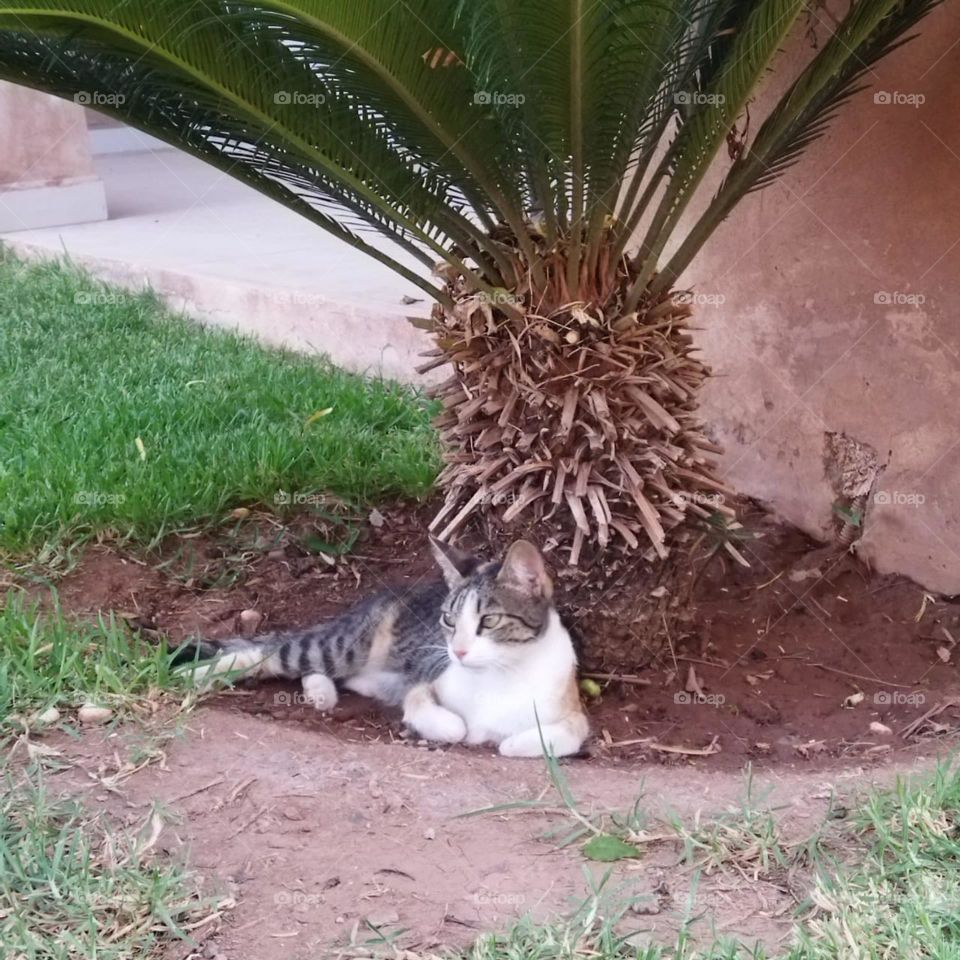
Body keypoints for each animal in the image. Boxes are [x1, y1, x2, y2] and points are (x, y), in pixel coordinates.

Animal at [176, 536, 588, 752]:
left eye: (489, 621)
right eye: (449, 620)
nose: (457, 651)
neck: (499, 676)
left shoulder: (574, 713)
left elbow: (553, 737)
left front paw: (507, 742)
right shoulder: (425, 682)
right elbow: (449, 723)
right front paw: (458, 729)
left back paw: (321, 693)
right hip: (344, 645)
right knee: (276, 652)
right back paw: (193, 675)